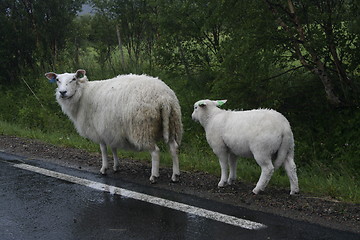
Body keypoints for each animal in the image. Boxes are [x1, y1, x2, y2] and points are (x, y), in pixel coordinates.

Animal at [44, 70, 183, 183]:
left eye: (73, 79)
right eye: (57, 80)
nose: (62, 92)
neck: (82, 95)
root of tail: (164, 98)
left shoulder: (99, 130)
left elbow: (103, 150)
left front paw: (104, 168)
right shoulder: (111, 129)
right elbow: (113, 147)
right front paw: (116, 166)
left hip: (143, 129)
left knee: (155, 152)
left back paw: (154, 176)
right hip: (172, 124)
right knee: (173, 148)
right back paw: (175, 175)